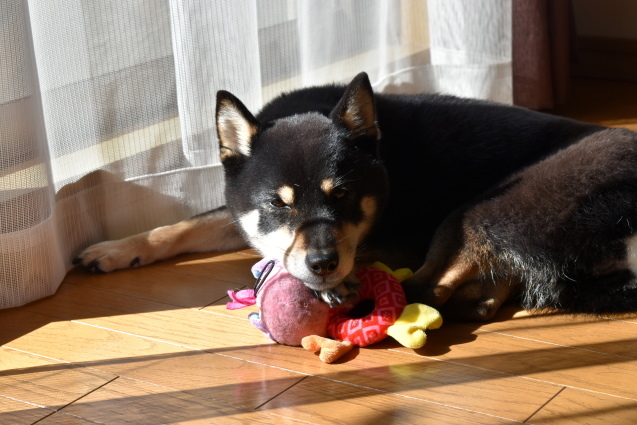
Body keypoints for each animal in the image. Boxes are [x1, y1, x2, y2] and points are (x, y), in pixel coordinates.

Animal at [76, 72, 637, 318]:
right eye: (278, 203)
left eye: (343, 195)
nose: (323, 264)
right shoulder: (243, 209)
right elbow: (184, 225)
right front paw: (115, 249)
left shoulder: (400, 238)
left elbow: (356, 256)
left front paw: (327, 281)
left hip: (483, 211)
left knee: (425, 287)